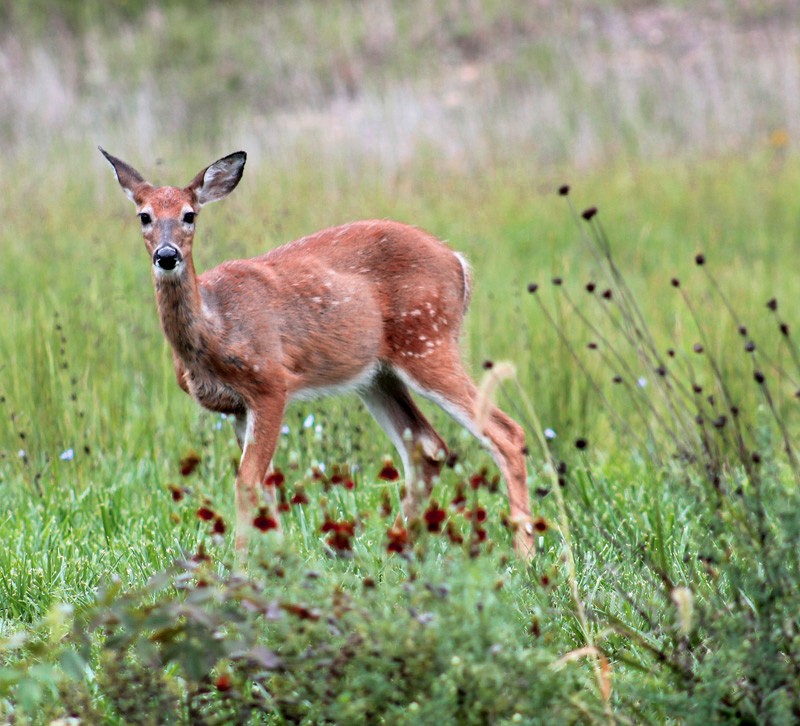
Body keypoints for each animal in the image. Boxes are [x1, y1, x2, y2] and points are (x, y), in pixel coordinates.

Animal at [101, 146, 536, 556]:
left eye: (190, 215)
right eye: (144, 216)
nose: (167, 255)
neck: (216, 326)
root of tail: (459, 263)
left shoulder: (270, 383)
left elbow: (247, 483)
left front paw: (240, 568)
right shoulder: (237, 408)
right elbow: (267, 488)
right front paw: (279, 564)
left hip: (428, 341)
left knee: (506, 433)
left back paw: (525, 555)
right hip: (379, 375)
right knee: (429, 449)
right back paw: (395, 549)